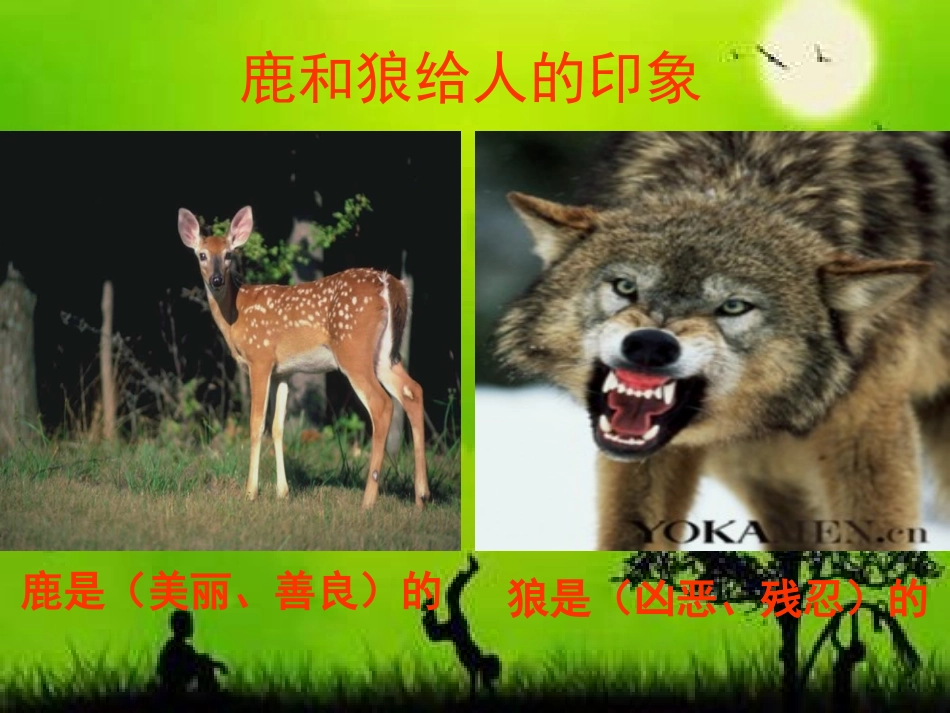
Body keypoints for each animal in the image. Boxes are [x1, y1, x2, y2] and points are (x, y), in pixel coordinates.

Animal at [177, 205, 430, 510]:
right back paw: (422, 496)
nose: (216, 280)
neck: (237, 313)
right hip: (385, 354)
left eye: (228, 255)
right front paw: (282, 491)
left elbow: (256, 423)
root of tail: (390, 283)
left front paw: (250, 492)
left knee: (382, 404)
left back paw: (368, 500)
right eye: (202, 255)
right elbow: (278, 427)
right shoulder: (283, 371)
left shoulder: (260, 357)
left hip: (353, 349)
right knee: (413, 390)